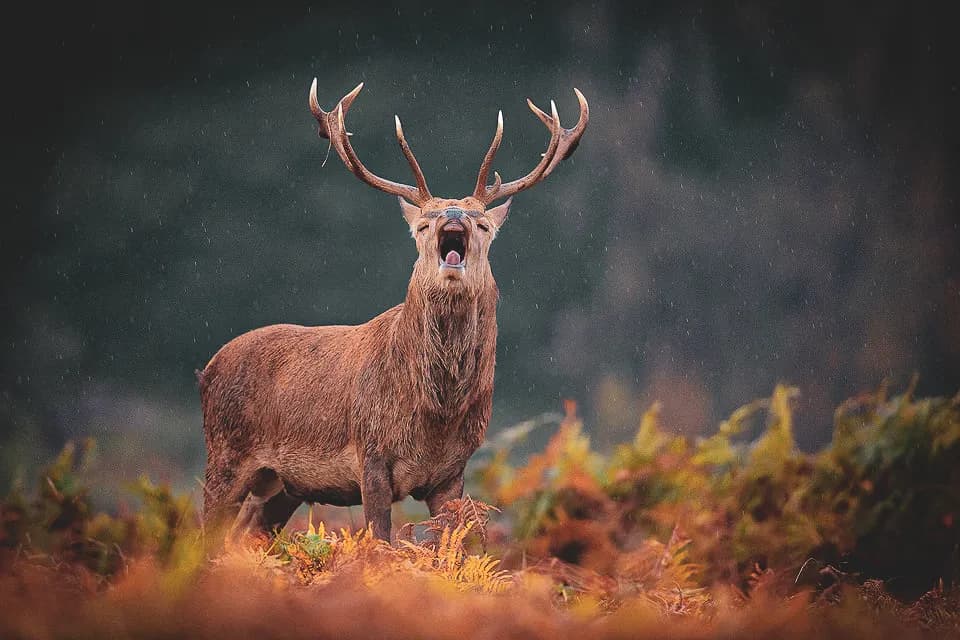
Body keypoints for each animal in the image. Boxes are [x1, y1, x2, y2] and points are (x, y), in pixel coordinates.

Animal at [198, 79, 588, 541]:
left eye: (483, 224)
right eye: (422, 223)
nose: (452, 216)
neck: (435, 416)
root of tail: (207, 370)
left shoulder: (452, 473)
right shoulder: (370, 454)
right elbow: (380, 540)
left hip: (280, 485)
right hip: (224, 456)